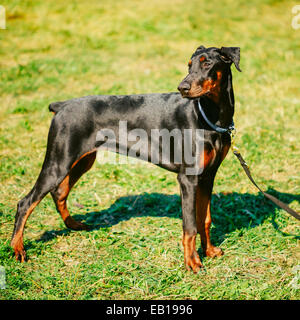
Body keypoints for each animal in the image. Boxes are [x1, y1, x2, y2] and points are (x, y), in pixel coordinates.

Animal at [11, 45, 241, 272]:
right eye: (189, 65)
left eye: (207, 63)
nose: (182, 88)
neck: (211, 116)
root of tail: (62, 106)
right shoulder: (188, 178)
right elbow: (190, 226)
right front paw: (192, 262)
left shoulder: (208, 175)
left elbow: (205, 219)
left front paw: (209, 251)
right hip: (59, 161)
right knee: (25, 203)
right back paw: (18, 249)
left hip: (82, 161)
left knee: (59, 192)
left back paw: (74, 225)